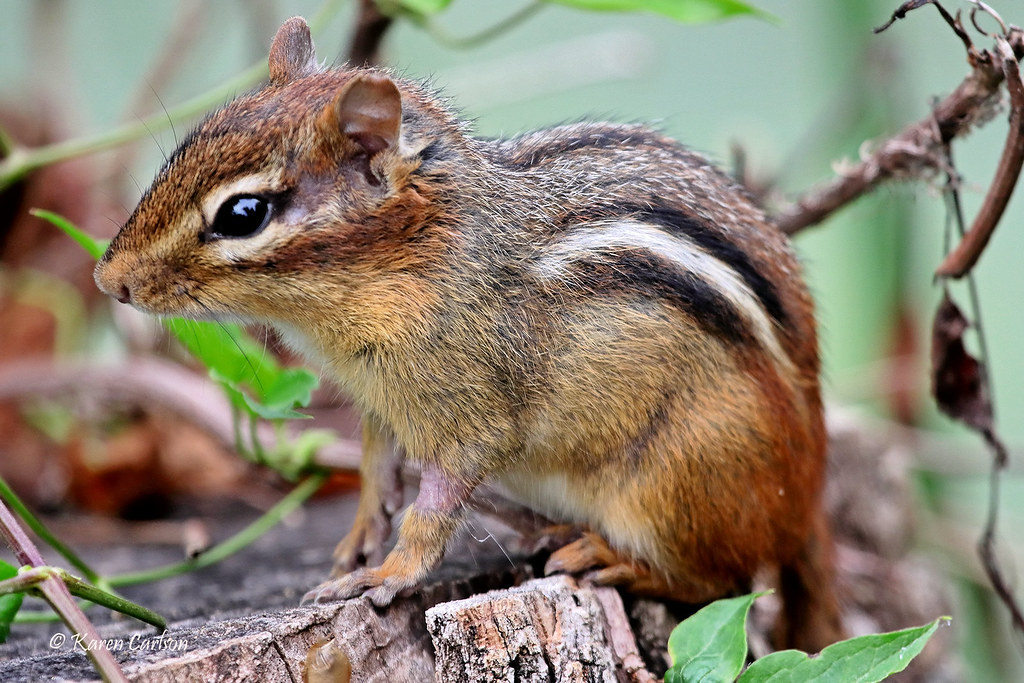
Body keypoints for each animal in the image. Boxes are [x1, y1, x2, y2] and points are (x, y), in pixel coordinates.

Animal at [95, 17, 843, 651]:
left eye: (244, 213)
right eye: (188, 143)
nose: (110, 280)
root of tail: (810, 487)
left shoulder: (472, 414)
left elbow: (435, 508)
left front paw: (387, 572)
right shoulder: (378, 398)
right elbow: (375, 461)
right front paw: (363, 531)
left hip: (675, 486)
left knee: (722, 581)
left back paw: (610, 555)